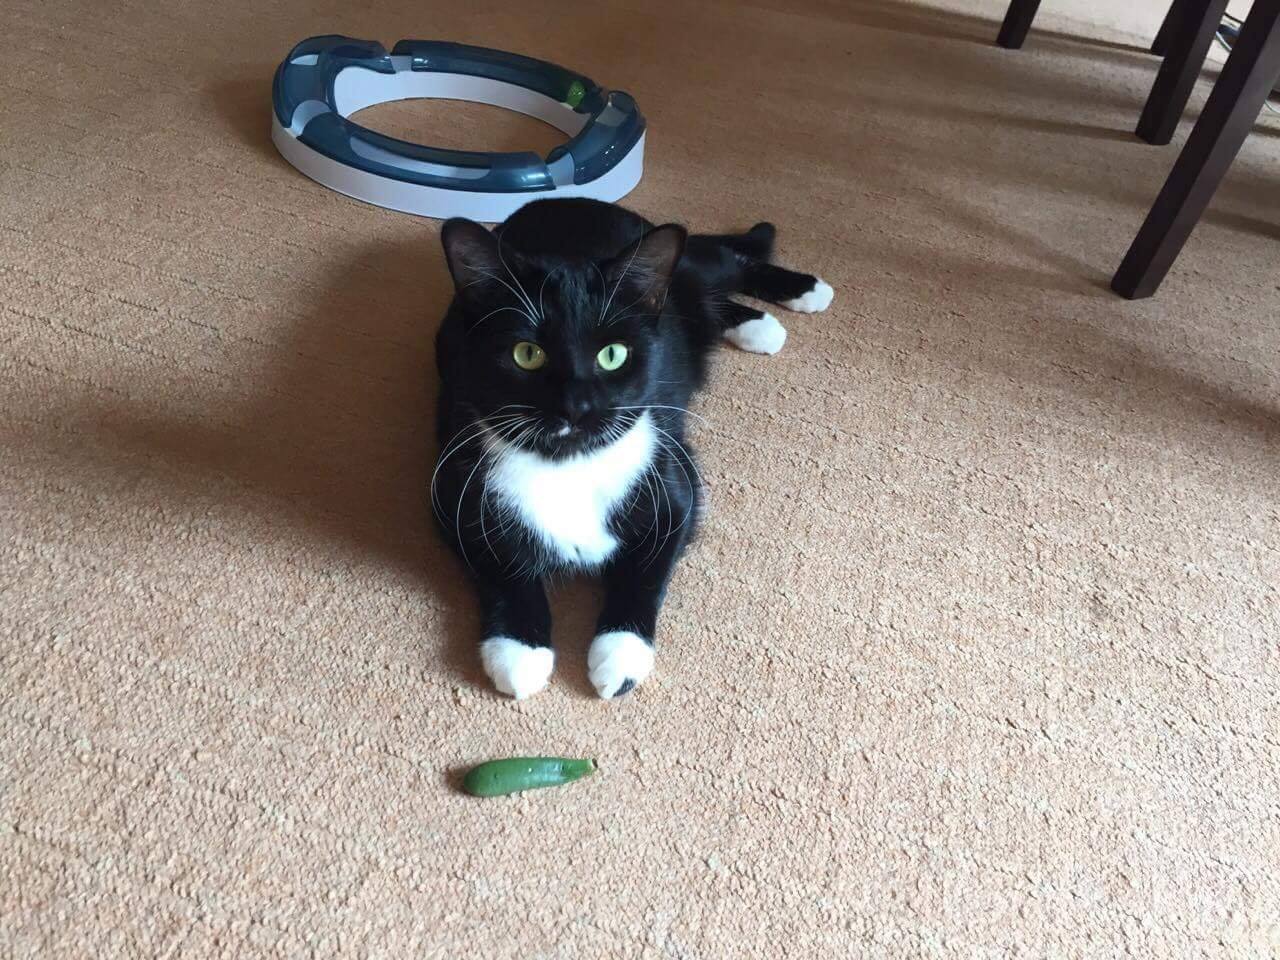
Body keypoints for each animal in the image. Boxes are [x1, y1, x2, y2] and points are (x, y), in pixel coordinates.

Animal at [431, 198, 833, 700]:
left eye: (613, 355)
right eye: (527, 354)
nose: (577, 405)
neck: (570, 464)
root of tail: (570, 201)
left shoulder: (674, 486)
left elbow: (643, 575)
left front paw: (618, 656)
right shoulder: (455, 485)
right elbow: (500, 564)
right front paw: (519, 652)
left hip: (682, 270)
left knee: (724, 259)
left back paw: (801, 293)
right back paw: (756, 322)